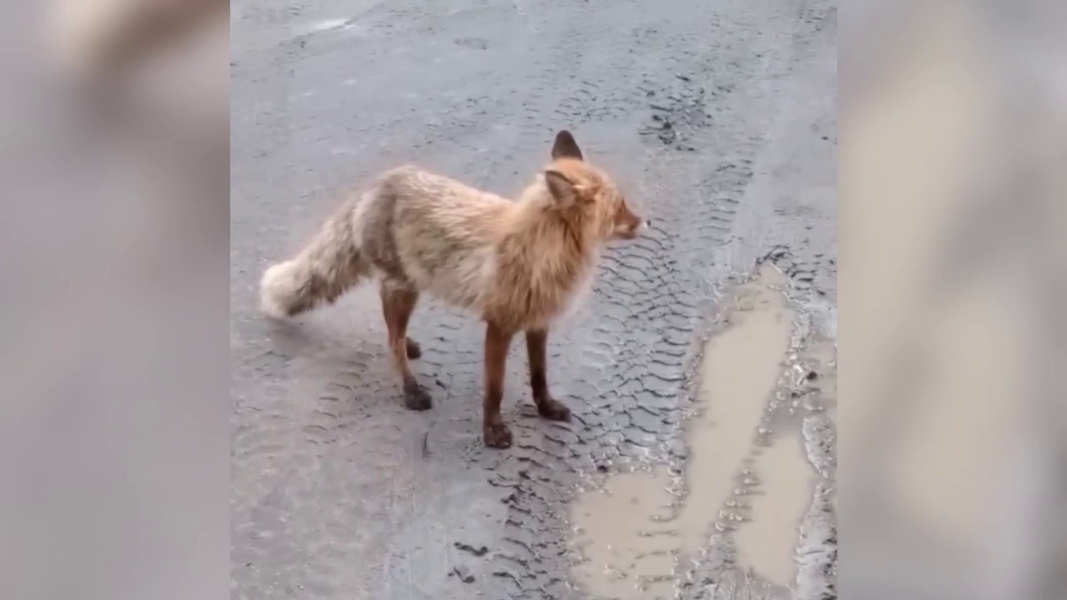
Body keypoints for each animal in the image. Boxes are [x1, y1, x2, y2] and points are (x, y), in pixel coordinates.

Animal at [260, 131, 647, 448]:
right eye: (620, 206)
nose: (646, 222)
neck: (542, 249)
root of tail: (379, 183)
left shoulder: (538, 321)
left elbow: (540, 376)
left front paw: (546, 408)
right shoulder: (500, 323)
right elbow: (495, 388)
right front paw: (493, 433)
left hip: (406, 287)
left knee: (393, 334)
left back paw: (409, 345)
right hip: (403, 289)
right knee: (392, 344)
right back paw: (411, 390)